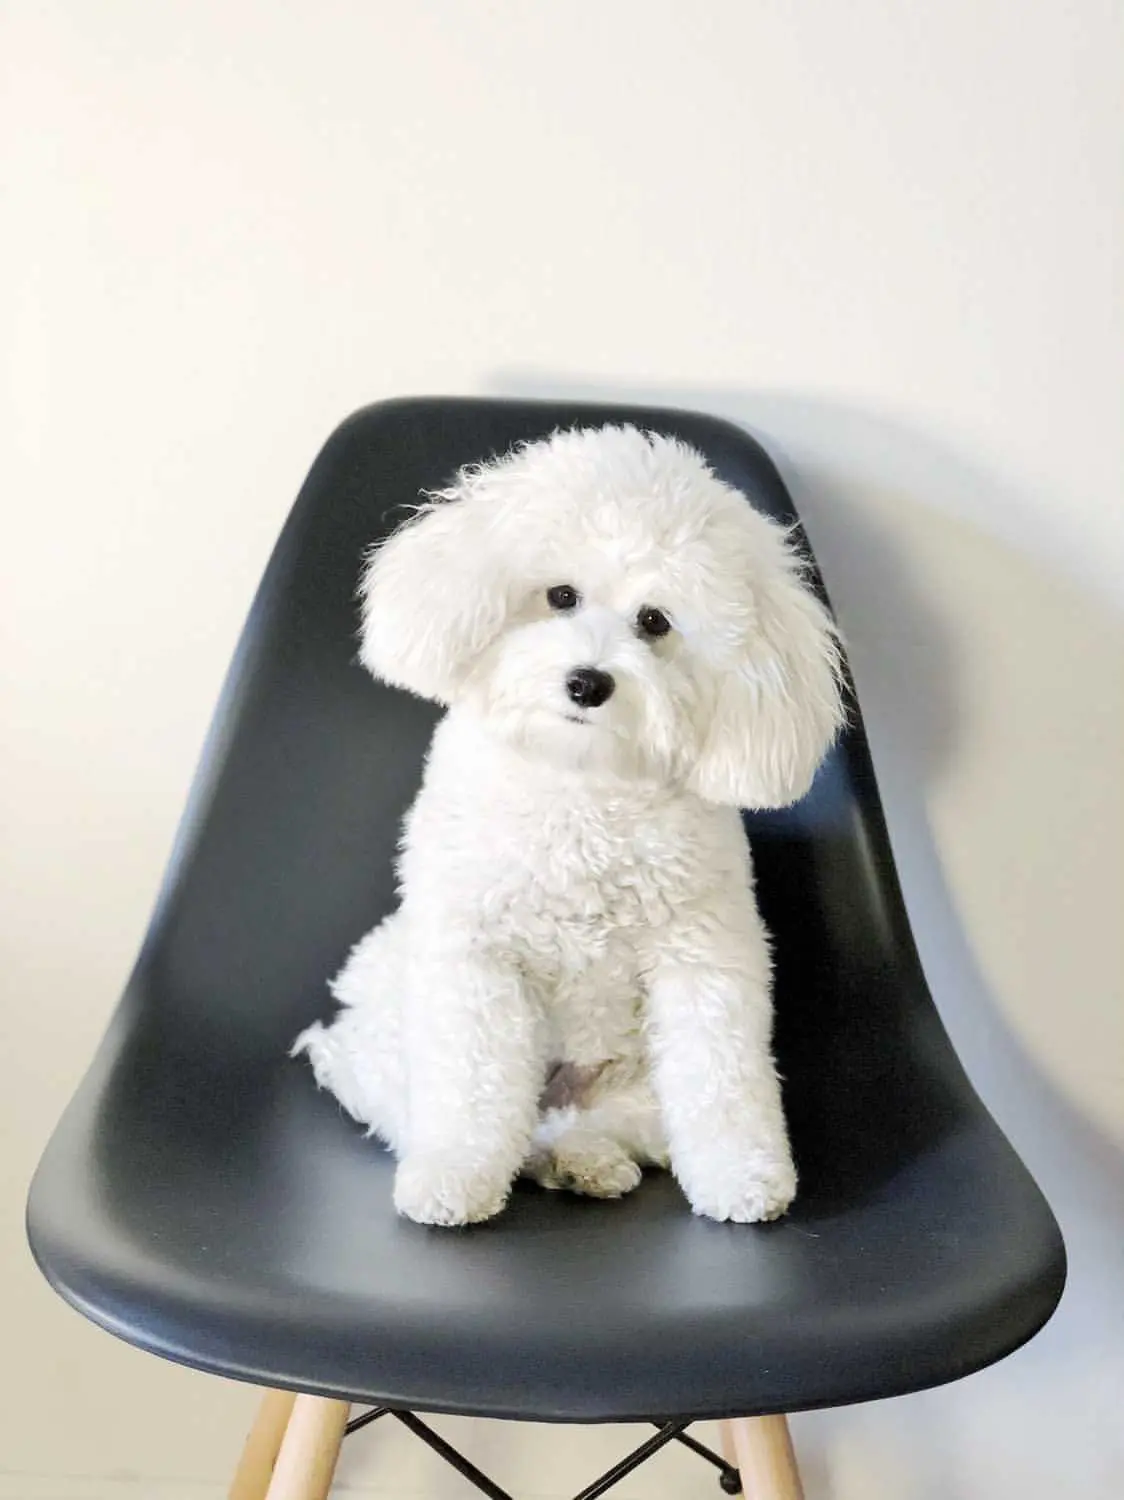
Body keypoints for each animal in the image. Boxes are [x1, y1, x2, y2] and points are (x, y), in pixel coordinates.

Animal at [294, 426, 840, 1230]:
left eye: (655, 621)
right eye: (560, 596)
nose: (588, 682)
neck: (581, 785)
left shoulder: (704, 956)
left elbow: (722, 1075)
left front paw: (742, 1174)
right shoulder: (475, 956)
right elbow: (473, 1083)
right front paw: (454, 1177)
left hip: (634, 1089)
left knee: (585, 1129)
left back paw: (586, 1162)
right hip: (389, 1027)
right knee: (484, 1121)